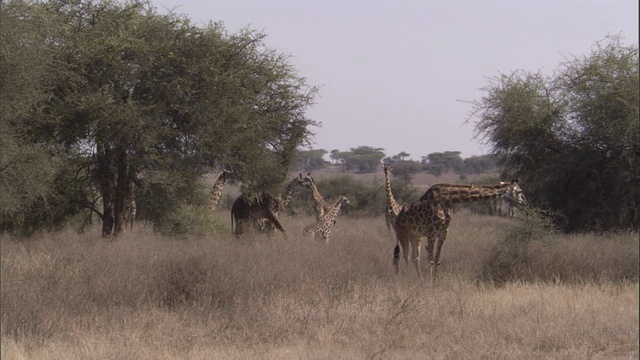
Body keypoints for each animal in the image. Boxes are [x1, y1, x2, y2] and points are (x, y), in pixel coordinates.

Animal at [392, 181, 528, 278]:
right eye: (519, 191)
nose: (525, 201)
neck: (447, 200)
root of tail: (397, 216)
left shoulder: (443, 232)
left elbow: (437, 259)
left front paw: (435, 281)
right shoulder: (431, 232)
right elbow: (430, 260)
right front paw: (430, 282)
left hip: (416, 235)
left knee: (415, 257)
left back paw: (418, 278)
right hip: (403, 232)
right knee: (406, 255)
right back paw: (407, 277)